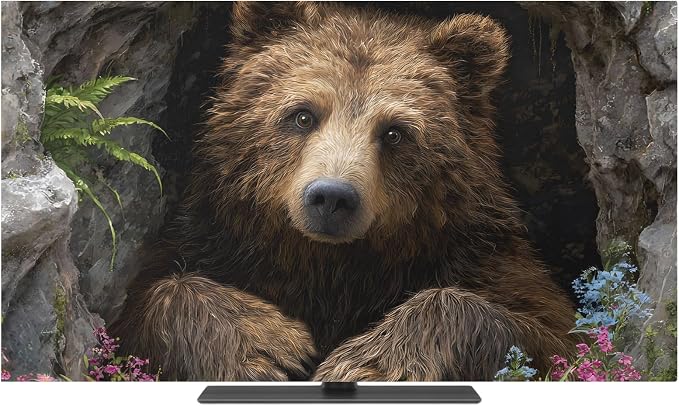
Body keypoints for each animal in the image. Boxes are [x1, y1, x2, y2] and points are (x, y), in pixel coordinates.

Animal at [111, 1, 576, 381]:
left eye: (394, 132)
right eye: (302, 115)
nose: (332, 197)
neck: (331, 265)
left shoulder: (477, 250)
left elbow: (546, 330)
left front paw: (369, 362)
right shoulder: (217, 240)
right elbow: (149, 296)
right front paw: (269, 348)